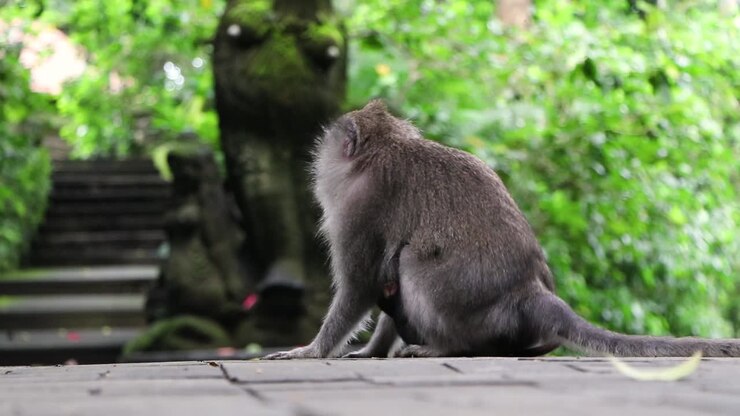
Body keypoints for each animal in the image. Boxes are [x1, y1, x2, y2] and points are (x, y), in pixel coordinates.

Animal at [263, 100, 740, 359]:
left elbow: (361, 283)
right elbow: (381, 280)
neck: (384, 151)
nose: (319, 152)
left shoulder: (360, 209)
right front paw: (373, 349)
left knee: (415, 260)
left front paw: (313, 350)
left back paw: (445, 346)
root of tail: (531, 291)